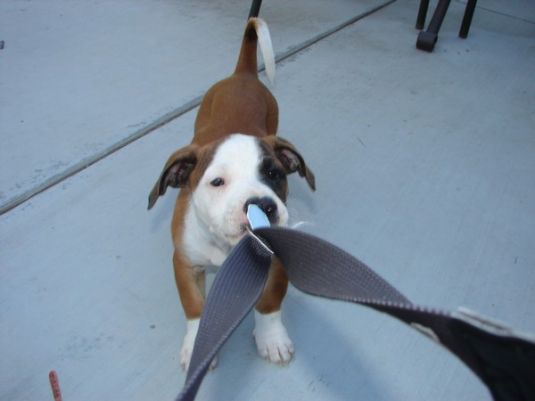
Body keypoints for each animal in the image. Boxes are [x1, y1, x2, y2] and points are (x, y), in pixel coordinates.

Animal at [148, 18, 314, 368]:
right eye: (217, 182)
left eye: (274, 174)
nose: (263, 205)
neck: (226, 246)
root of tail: (243, 74)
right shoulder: (184, 264)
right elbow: (195, 308)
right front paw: (196, 345)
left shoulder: (276, 262)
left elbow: (269, 302)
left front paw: (271, 338)